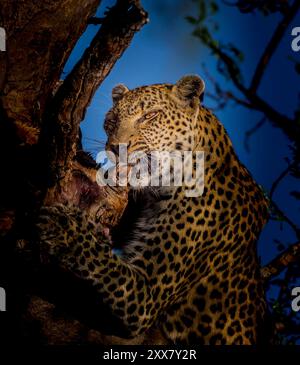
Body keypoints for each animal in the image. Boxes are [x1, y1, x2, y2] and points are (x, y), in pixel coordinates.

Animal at [37, 74, 270, 344]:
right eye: (112, 121)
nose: (115, 148)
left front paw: (64, 227)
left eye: (150, 116)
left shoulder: (147, 294)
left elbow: (103, 261)